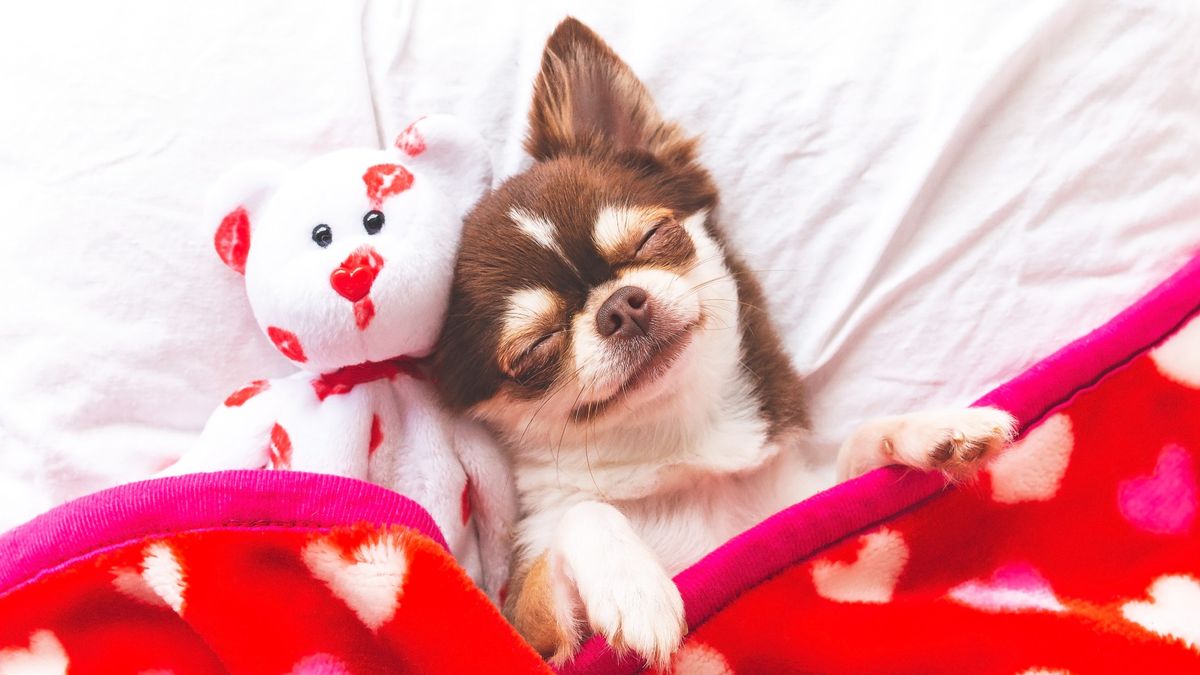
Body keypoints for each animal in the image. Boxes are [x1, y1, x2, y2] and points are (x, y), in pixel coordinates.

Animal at [436, 17, 1017, 667]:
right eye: (536, 349)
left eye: (652, 237)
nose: (619, 307)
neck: (687, 448)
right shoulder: (533, 638)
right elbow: (582, 514)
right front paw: (633, 585)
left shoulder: (797, 509)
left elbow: (853, 457)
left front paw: (933, 427)